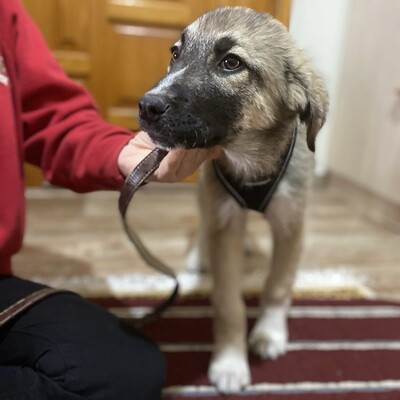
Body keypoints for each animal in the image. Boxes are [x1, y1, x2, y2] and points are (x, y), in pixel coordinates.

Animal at [138, 6, 328, 394]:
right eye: (175, 53)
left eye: (231, 63)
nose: (147, 106)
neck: (252, 162)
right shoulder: (225, 220)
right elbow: (229, 303)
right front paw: (229, 361)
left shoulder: (291, 223)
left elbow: (278, 284)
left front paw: (269, 332)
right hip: (206, 190)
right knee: (203, 221)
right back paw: (199, 255)